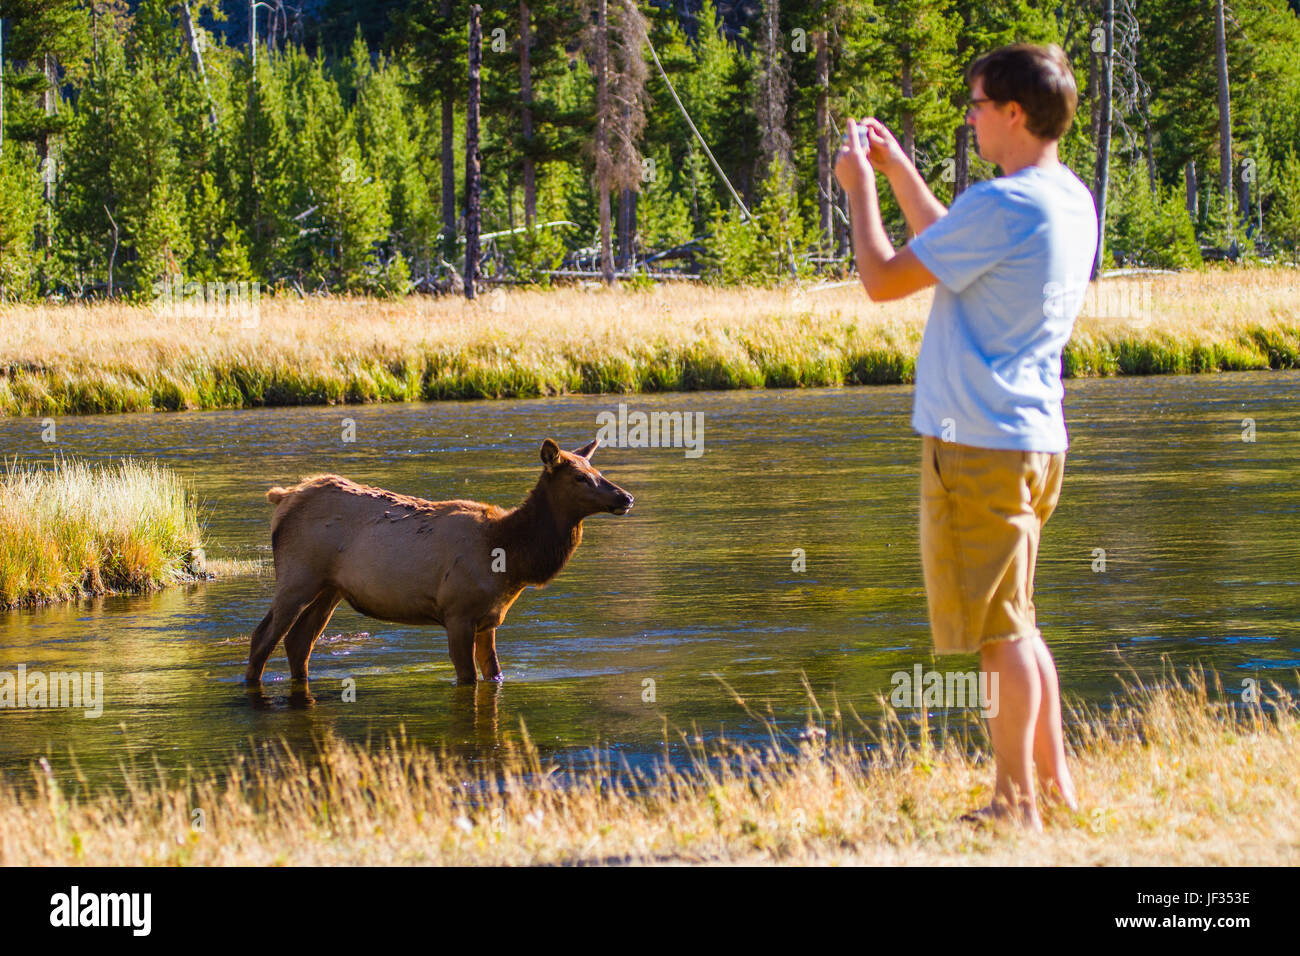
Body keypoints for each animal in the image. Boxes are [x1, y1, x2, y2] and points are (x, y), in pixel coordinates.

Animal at [245, 442, 631, 686]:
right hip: (298, 575)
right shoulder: (457, 612)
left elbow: (494, 673)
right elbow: (467, 678)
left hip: (330, 588)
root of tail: (282, 498)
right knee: (263, 635)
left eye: (597, 469)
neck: (511, 558)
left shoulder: (489, 618)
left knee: (299, 641)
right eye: (579, 477)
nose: (625, 497)